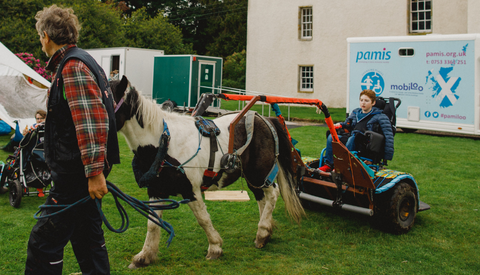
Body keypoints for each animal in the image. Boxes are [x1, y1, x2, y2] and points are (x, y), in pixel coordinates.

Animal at [109, 76, 304, 270]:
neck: (165, 143)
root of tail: (264, 119)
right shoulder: (156, 190)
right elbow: (152, 222)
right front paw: (144, 256)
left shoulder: (191, 190)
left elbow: (202, 219)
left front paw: (215, 247)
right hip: (250, 176)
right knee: (261, 198)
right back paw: (266, 231)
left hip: (259, 173)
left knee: (272, 194)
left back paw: (263, 232)